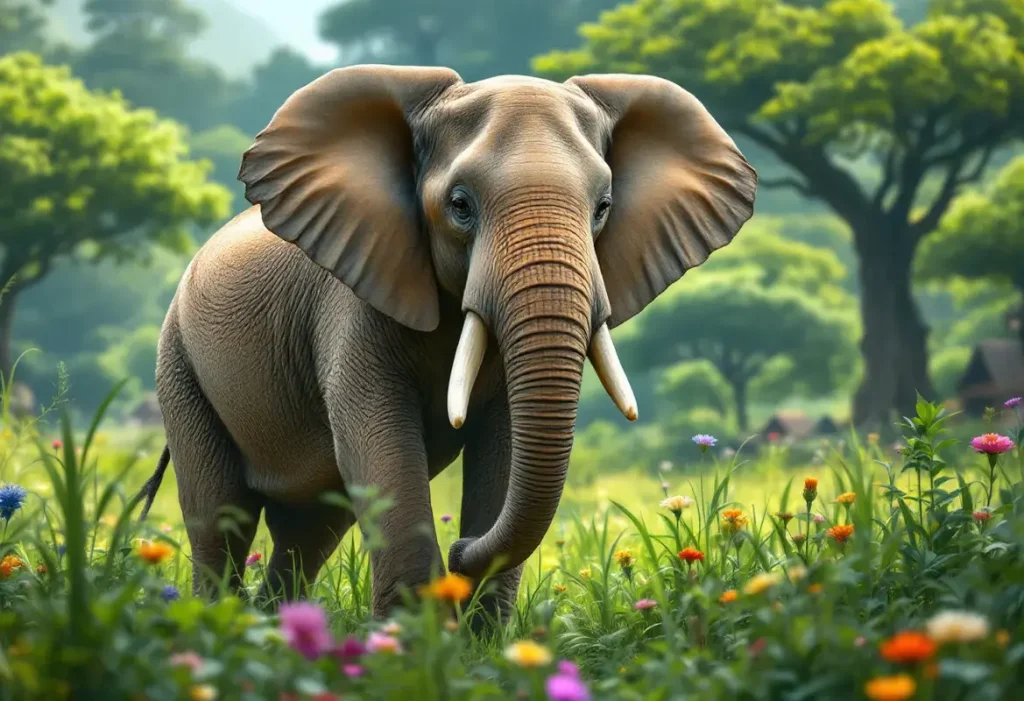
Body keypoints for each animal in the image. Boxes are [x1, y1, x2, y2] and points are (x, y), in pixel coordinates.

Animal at [137, 64, 756, 620]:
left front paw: (482, 648)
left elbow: (504, 443)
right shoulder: (350, 306)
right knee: (222, 519)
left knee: (309, 529)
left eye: (603, 208)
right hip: (179, 366)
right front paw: (410, 650)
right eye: (460, 205)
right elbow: (380, 444)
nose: (460, 551)